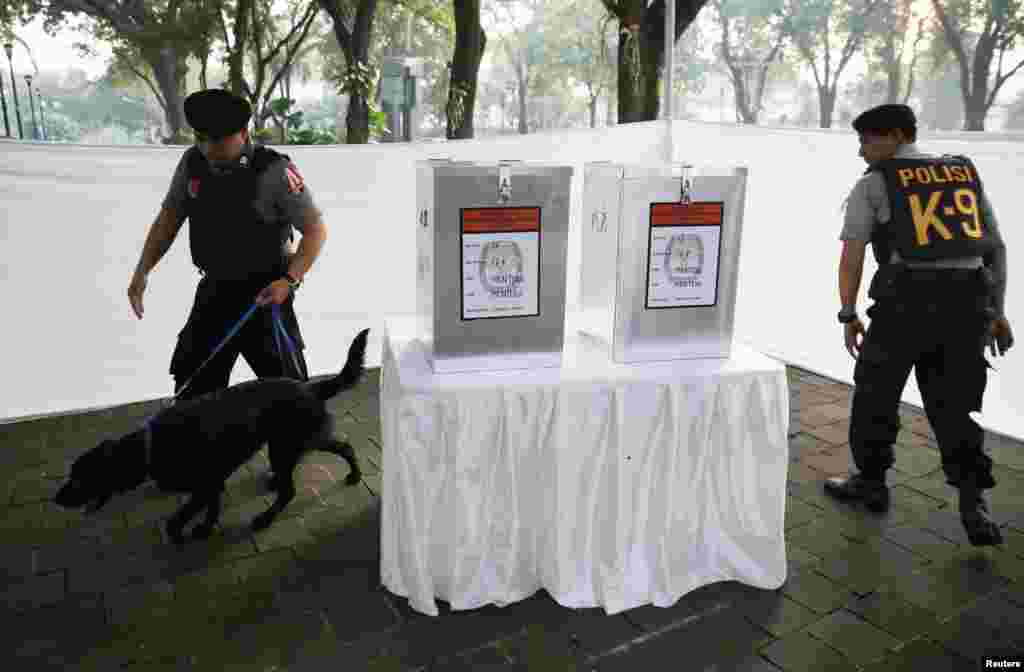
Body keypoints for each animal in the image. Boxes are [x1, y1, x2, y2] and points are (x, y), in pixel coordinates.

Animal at [54, 327, 370, 544]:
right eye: (72, 474)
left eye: (80, 478)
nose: (56, 498)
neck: (149, 446)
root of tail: (309, 387)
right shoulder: (213, 482)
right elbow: (211, 509)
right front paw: (205, 529)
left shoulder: (205, 484)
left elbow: (178, 518)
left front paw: (180, 534)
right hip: (297, 442)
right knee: (344, 446)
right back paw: (353, 475)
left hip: (285, 446)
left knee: (290, 489)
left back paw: (265, 518)